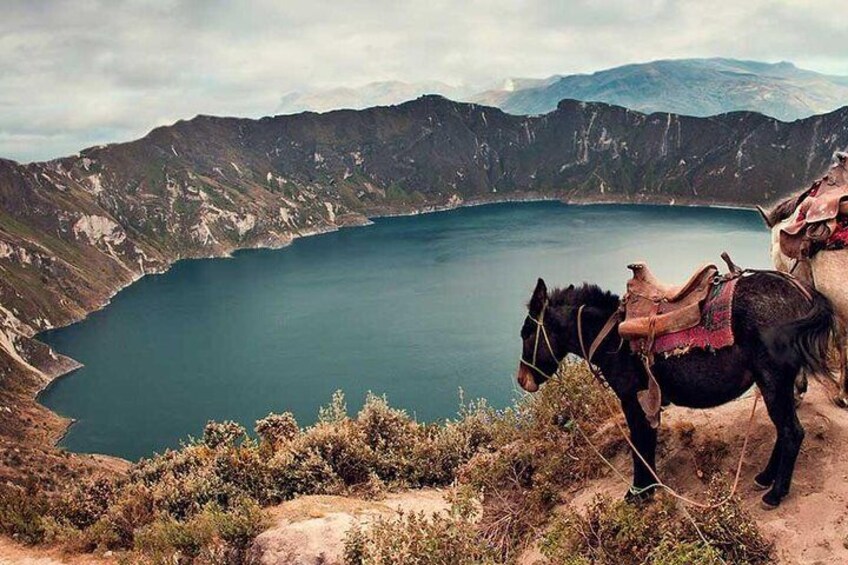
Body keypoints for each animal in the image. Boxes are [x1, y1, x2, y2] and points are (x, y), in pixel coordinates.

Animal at [516, 274, 836, 506]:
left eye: (527, 334)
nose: (521, 380)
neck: (610, 337)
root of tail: (802, 293)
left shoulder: (632, 399)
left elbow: (640, 445)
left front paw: (639, 492)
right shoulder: (647, 402)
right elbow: (647, 443)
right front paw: (649, 488)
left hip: (773, 380)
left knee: (792, 432)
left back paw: (775, 494)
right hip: (776, 382)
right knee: (784, 430)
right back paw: (765, 477)